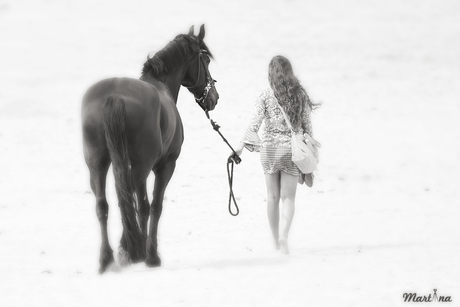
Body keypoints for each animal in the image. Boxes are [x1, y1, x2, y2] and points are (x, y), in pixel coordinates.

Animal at [82, 25, 218, 274]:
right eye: (205, 60)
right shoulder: (164, 166)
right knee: (124, 199)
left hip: (98, 163)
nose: (214, 97)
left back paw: (107, 258)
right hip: (141, 166)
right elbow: (155, 206)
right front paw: (151, 255)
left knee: (103, 204)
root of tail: (114, 96)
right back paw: (127, 250)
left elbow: (143, 207)